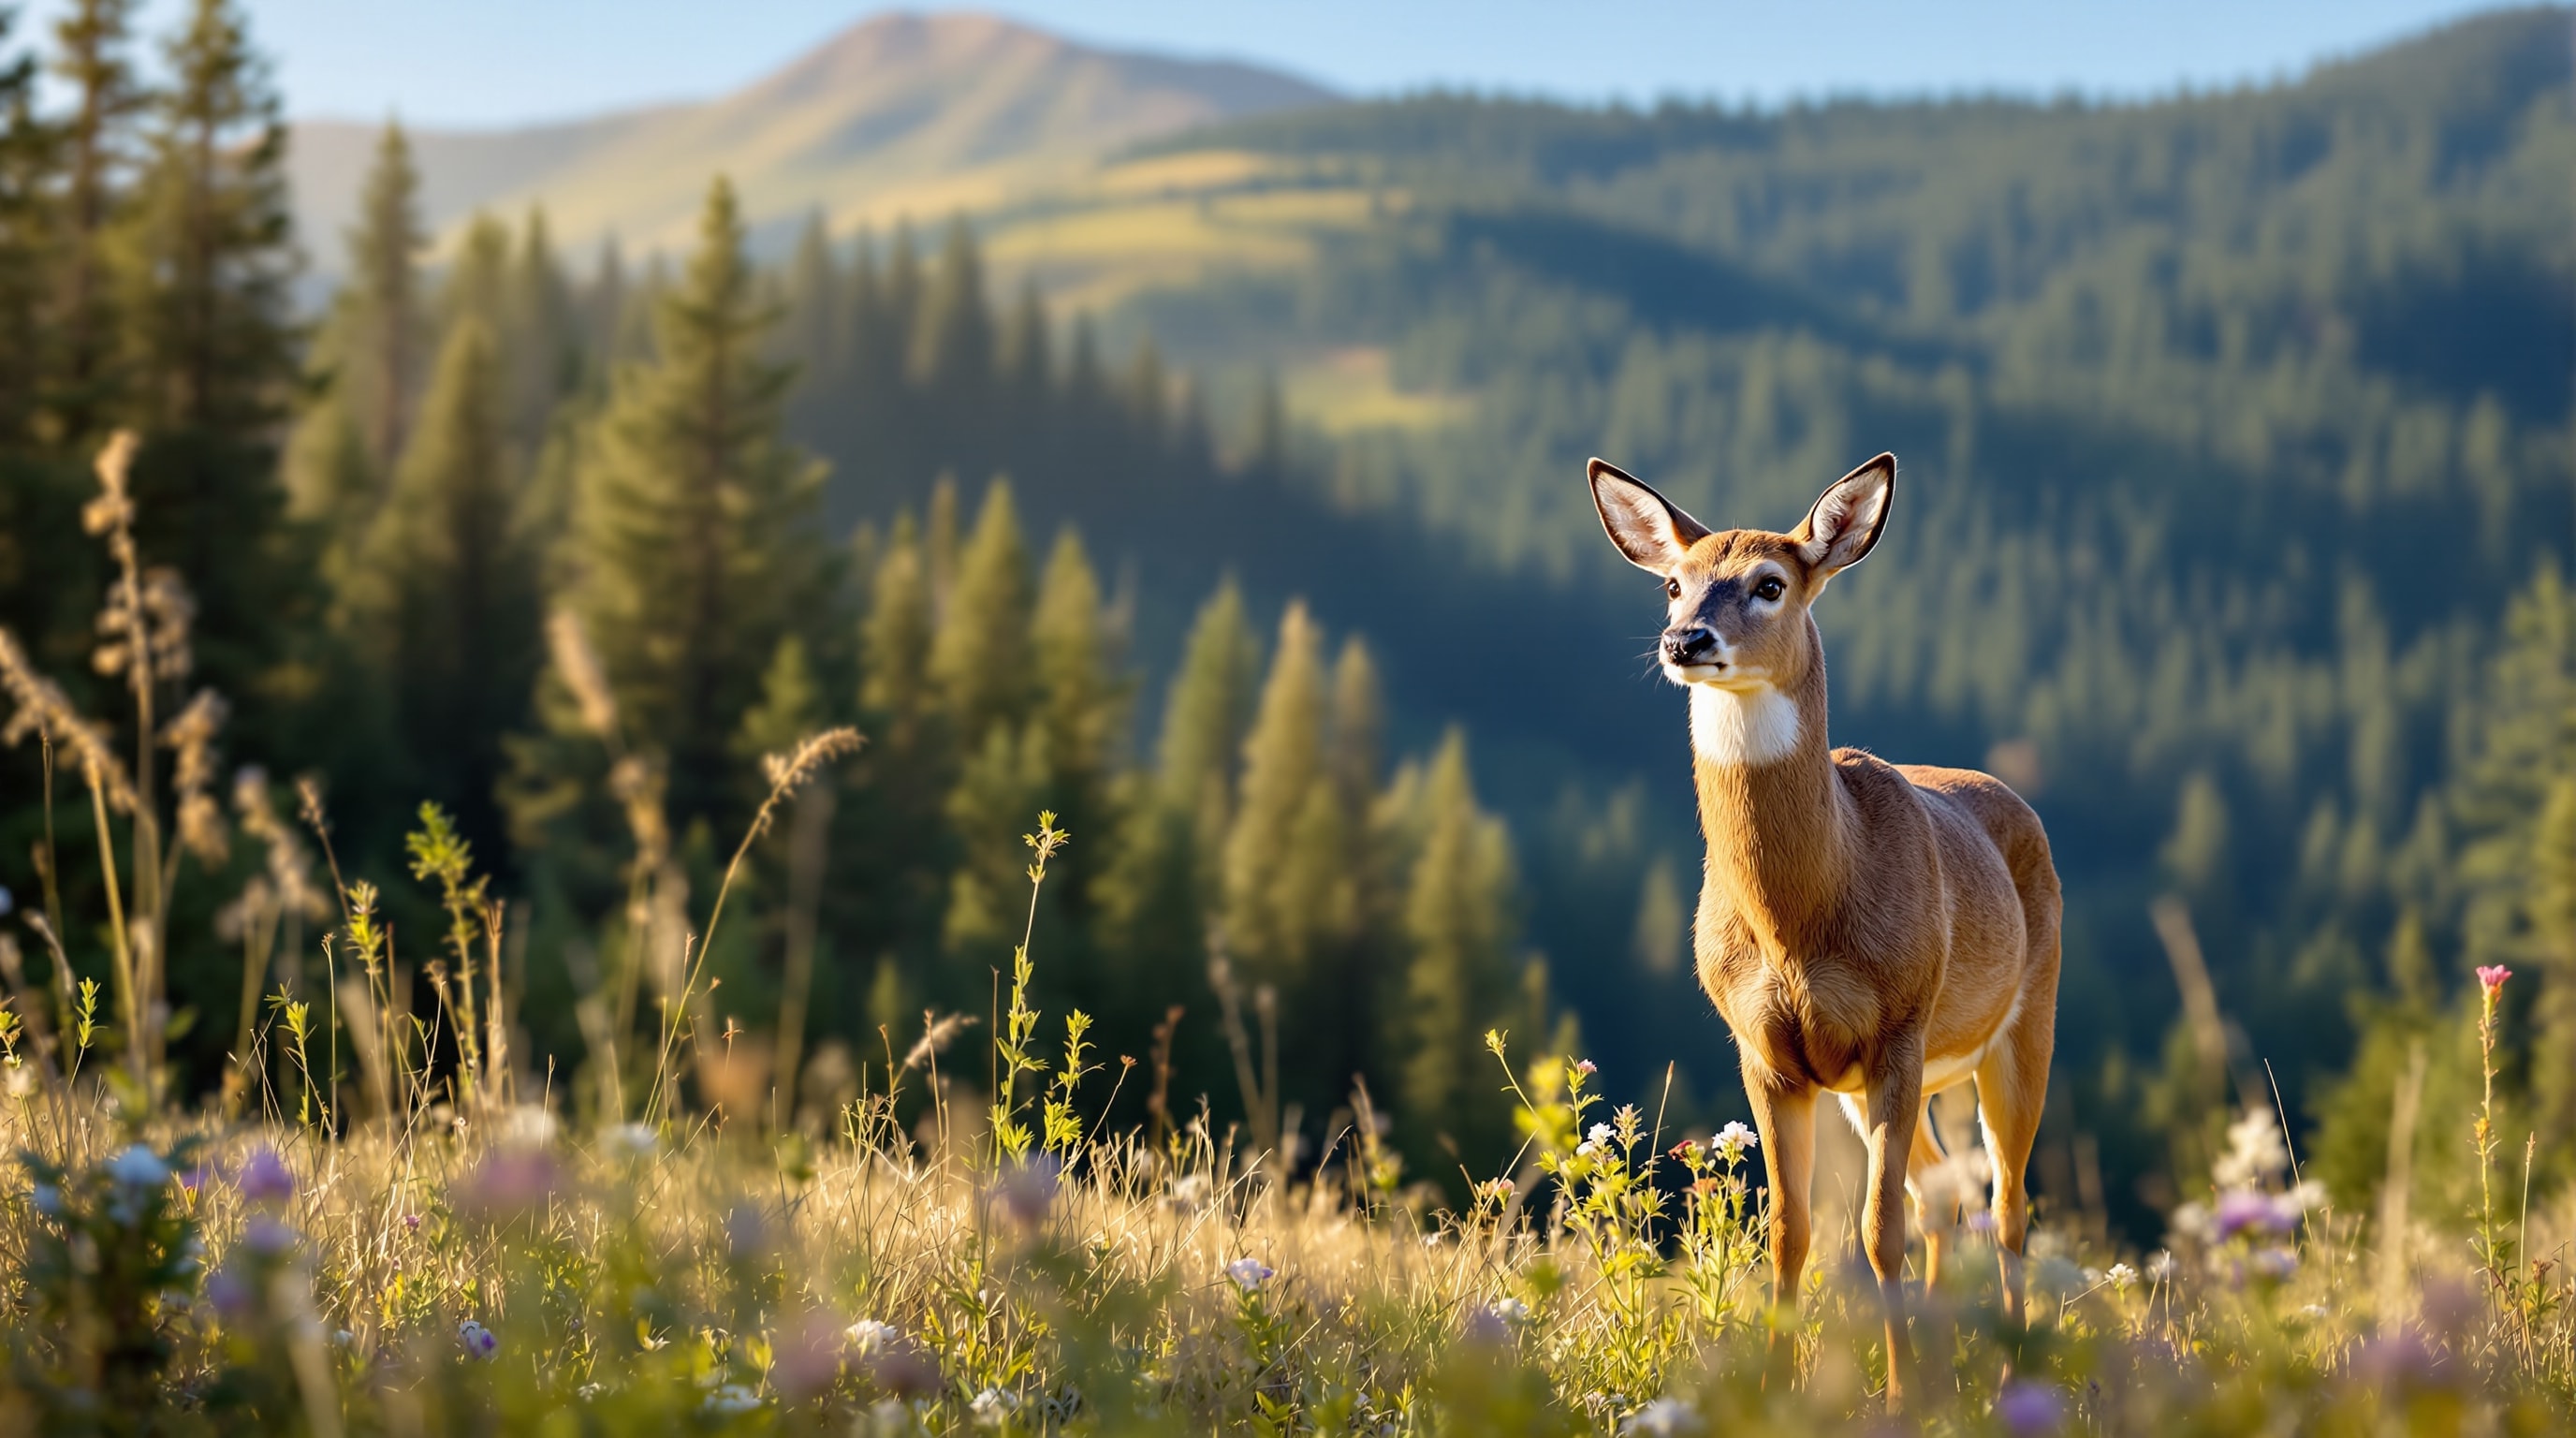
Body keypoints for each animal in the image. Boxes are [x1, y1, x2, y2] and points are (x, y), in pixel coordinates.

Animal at [1584, 452, 2060, 1414]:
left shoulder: (1898, 1030)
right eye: (1672, 584)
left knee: (2007, 1206)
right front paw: (1777, 1389)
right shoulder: (1764, 1050)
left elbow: (1877, 1232)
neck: (1799, 922)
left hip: (2023, 1027)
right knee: (1945, 1195)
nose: (1683, 641)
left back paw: (2006, 1376)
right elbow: (1791, 1230)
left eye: (1770, 583)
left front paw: (1900, 1399)